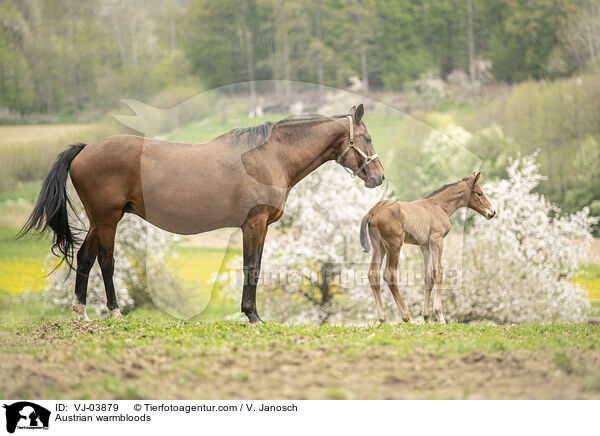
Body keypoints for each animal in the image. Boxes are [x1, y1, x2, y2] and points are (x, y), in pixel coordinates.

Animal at [21, 104, 384, 322]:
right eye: (366, 137)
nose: (379, 177)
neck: (269, 156)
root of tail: (85, 150)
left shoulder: (259, 226)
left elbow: (254, 266)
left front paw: (251, 314)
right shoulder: (254, 224)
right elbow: (251, 267)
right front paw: (252, 316)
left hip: (100, 220)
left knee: (84, 258)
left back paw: (81, 314)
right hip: (108, 219)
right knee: (106, 262)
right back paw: (114, 312)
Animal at [358, 173, 494, 324]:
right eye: (480, 193)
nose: (492, 212)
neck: (438, 207)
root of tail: (372, 212)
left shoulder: (425, 246)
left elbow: (428, 277)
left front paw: (427, 317)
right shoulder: (437, 241)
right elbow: (438, 273)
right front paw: (440, 316)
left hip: (378, 247)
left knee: (373, 274)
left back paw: (383, 318)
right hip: (394, 245)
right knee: (389, 275)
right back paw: (407, 317)